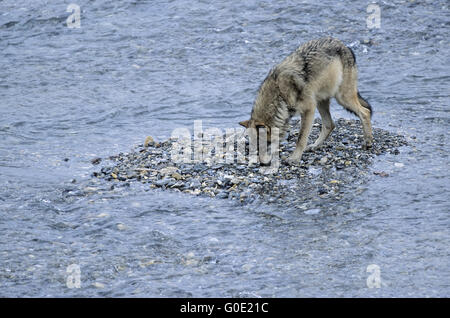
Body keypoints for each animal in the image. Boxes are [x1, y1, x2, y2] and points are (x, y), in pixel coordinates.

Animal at [239, 36, 372, 164]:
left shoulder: (308, 110)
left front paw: (294, 158)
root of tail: (346, 46)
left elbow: (301, 138)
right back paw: (315, 146)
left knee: (365, 112)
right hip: (321, 101)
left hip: (342, 98)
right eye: (251, 144)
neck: (279, 94)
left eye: (260, 142)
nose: (259, 162)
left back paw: (368, 142)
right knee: (330, 124)